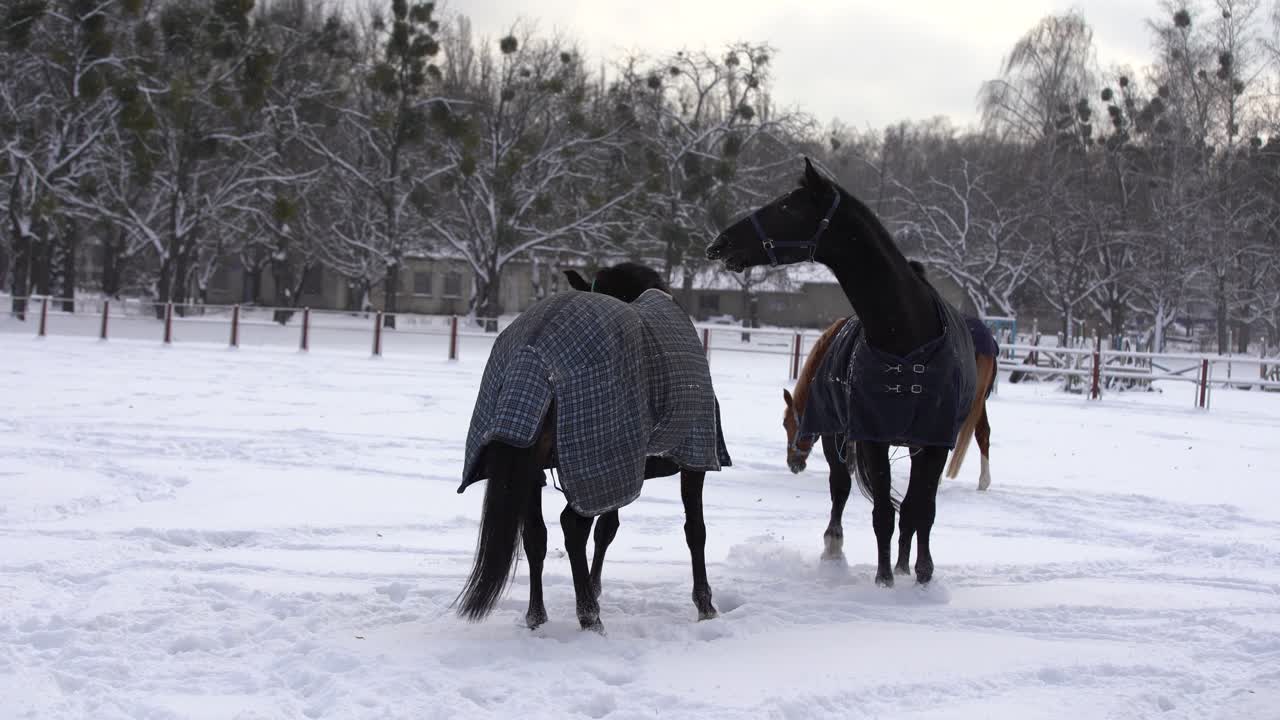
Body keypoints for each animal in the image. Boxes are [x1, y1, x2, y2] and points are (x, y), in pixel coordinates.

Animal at [455, 264, 730, 632]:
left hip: (533, 464)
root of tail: (532, 351)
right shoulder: (689, 459)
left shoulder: (622, 469)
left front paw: (594, 587)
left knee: (537, 535)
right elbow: (695, 531)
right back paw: (588, 615)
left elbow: (604, 530)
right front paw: (705, 604)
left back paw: (539, 615)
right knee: (571, 526)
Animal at [707, 157, 978, 587]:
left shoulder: (935, 441)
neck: (906, 339)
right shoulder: (871, 437)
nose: (719, 244)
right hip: (837, 436)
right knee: (841, 487)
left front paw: (919, 576)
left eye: (787, 206)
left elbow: (921, 510)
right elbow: (883, 513)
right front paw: (884, 581)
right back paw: (835, 548)